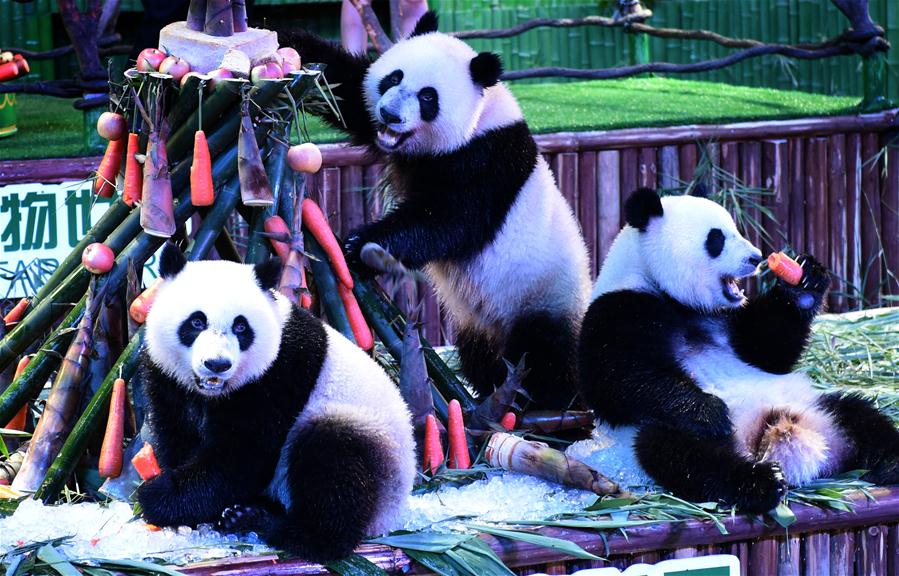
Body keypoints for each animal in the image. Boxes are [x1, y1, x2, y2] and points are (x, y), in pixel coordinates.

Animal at [135, 243, 416, 564]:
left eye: (241, 327)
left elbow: (243, 456)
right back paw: (244, 515)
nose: (217, 364)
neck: (211, 393)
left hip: (367, 438)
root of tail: (391, 514)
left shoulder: (279, 373)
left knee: (334, 464)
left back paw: (275, 525)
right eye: (196, 321)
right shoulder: (167, 378)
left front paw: (155, 496)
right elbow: (177, 434)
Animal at [288, 13, 596, 410]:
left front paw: (357, 246)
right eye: (394, 77)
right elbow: (346, 87)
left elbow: (449, 221)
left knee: (545, 353)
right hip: (478, 321)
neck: (483, 113)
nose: (389, 114)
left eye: (427, 97)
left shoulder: (485, 160)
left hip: (543, 294)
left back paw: (551, 403)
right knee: (480, 353)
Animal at [576, 189, 899, 512]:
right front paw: (709, 410)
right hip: (668, 433)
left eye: (736, 228)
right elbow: (619, 379)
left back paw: (891, 462)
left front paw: (804, 283)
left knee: (860, 414)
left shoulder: (727, 320)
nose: (755, 257)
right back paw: (762, 481)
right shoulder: (619, 310)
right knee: (681, 454)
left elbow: (769, 350)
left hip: (815, 405)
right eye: (716, 239)